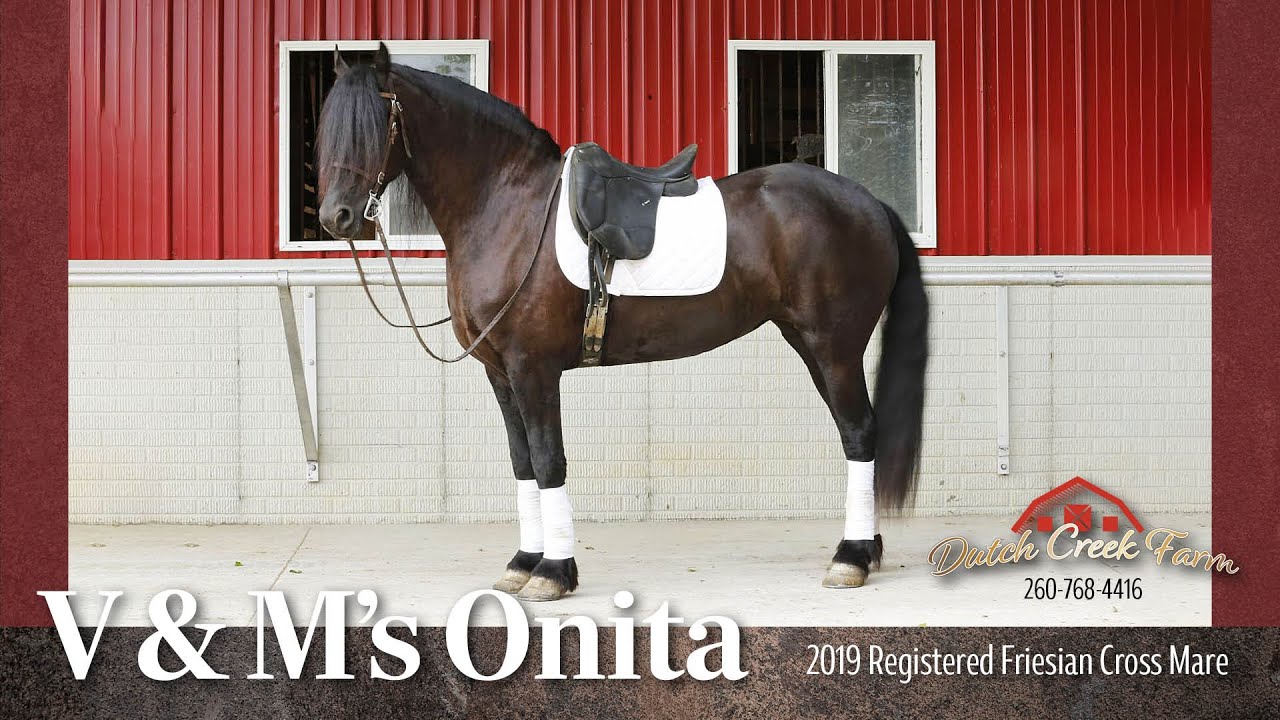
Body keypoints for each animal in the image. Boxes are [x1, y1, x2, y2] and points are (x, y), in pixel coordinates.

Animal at [316, 43, 928, 602]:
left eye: (374, 124)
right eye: (327, 126)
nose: (335, 217)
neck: (508, 210)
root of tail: (870, 202)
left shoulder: (533, 369)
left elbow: (549, 460)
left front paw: (553, 572)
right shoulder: (500, 373)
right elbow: (522, 462)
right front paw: (522, 563)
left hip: (834, 347)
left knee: (859, 432)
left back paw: (850, 558)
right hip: (808, 343)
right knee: (856, 432)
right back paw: (866, 550)